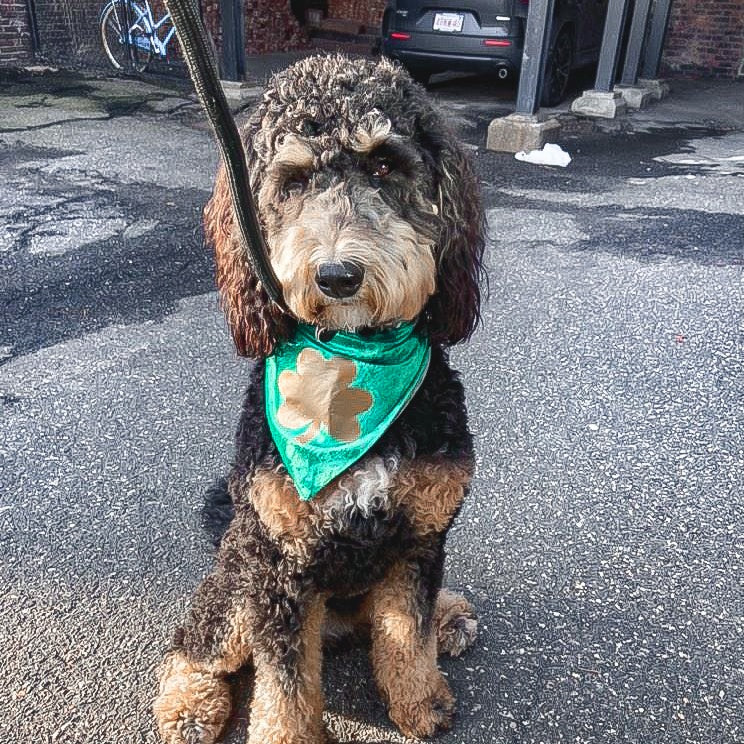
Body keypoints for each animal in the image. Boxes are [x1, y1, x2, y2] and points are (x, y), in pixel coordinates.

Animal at [154, 53, 486, 744]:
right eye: (295, 179)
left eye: (385, 165)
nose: (337, 276)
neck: (352, 363)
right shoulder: (279, 565)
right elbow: (284, 680)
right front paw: (288, 732)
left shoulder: (419, 539)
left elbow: (407, 634)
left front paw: (419, 702)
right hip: (238, 570)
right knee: (197, 640)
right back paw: (188, 704)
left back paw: (449, 615)